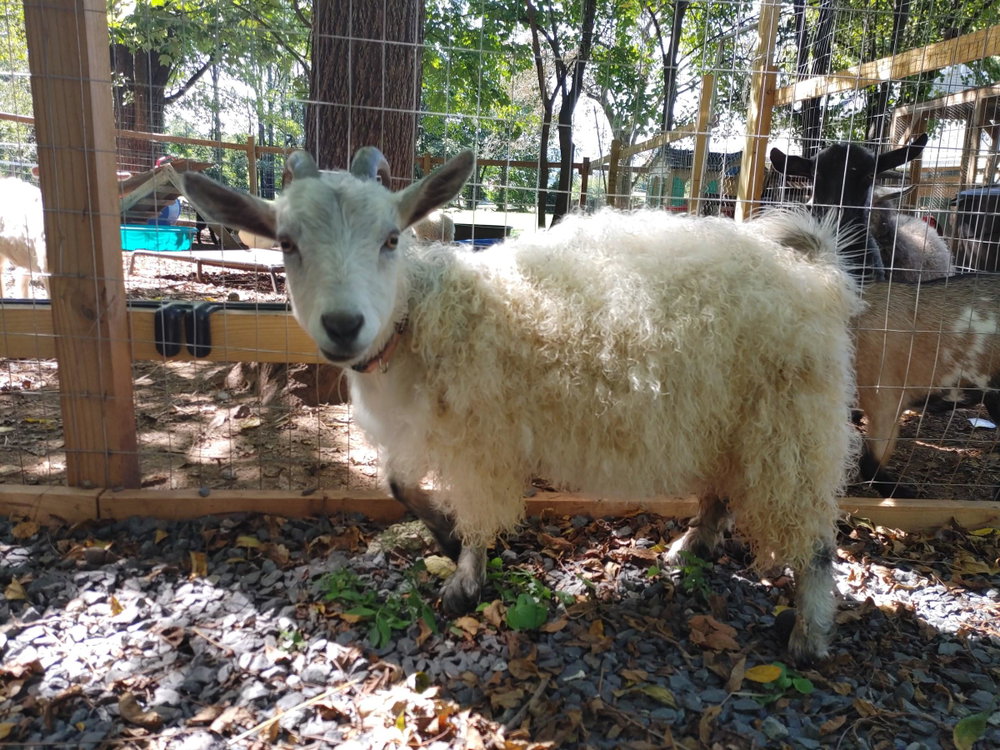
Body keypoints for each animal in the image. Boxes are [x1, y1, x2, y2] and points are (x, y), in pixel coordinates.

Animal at [182, 147, 862, 663]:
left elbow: (479, 508)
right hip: (733, 415)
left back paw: (809, 634)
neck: (426, 314)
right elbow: (398, 483)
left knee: (815, 535)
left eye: (391, 238)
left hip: (793, 420)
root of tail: (816, 275)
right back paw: (694, 546)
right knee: (724, 485)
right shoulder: (418, 431)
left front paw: (465, 577)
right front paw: (444, 532)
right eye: (287, 243)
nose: (344, 325)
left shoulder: (485, 436)